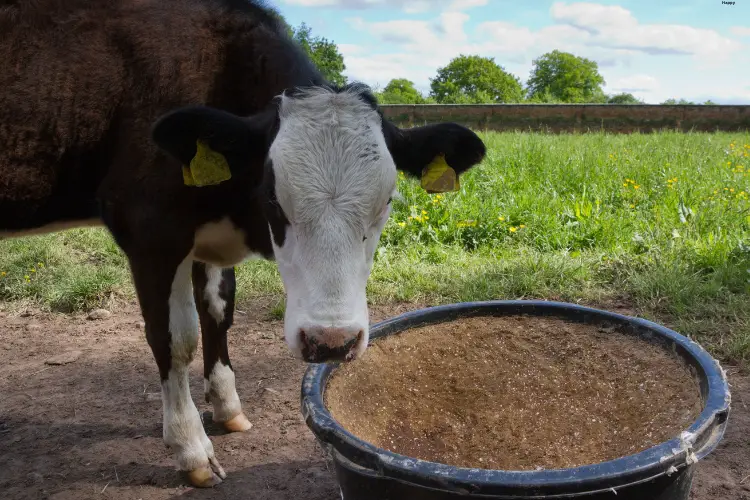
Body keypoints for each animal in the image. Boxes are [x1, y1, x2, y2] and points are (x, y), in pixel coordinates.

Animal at [0, 0, 490, 488]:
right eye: (271, 196)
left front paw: (227, 407)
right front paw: (191, 447)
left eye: (387, 200)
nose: (332, 341)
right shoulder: (150, 232)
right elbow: (175, 338)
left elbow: (218, 313)